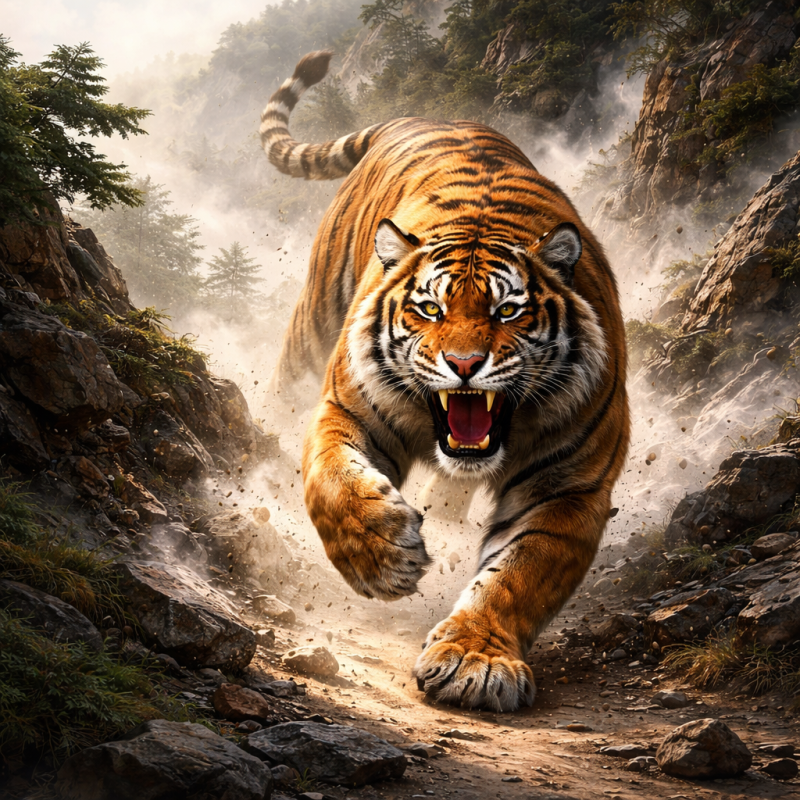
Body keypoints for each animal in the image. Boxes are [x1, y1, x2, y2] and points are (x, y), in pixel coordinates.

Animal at [260, 51, 629, 712]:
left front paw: (474, 661)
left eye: (508, 311)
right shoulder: (346, 407)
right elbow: (332, 482)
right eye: (430, 309)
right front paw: (383, 558)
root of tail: (417, 118)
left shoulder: (570, 487)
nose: (464, 364)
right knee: (281, 394)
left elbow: (517, 576)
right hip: (313, 325)